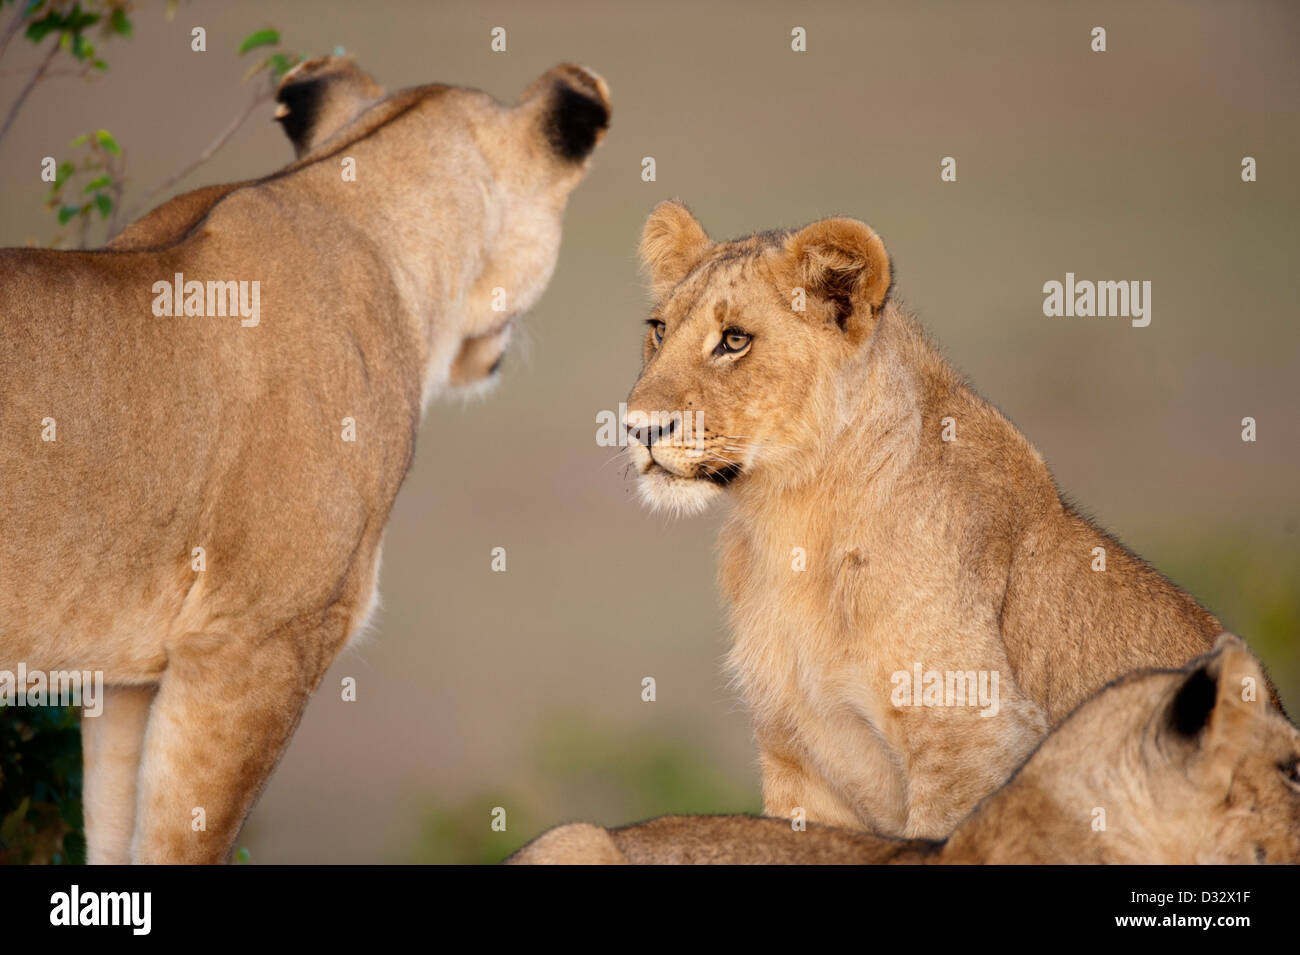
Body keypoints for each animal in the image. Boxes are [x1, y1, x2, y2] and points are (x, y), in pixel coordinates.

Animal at [621, 201, 1282, 840]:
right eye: (659, 330)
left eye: (734, 340)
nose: (636, 428)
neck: (790, 518)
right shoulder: (799, 763)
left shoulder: (972, 740)